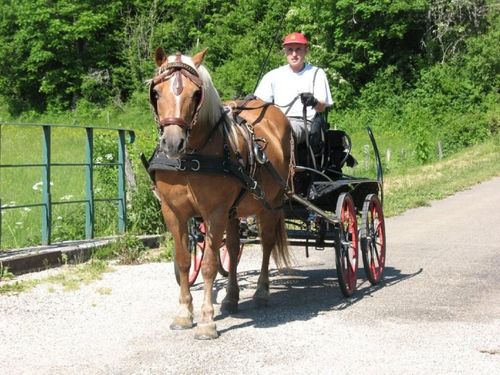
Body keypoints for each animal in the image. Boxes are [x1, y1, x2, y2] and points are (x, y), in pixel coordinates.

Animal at [149, 47, 292, 340]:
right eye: (156, 92)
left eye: (196, 93)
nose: (172, 143)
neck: (190, 157)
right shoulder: (174, 212)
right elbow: (184, 262)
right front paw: (184, 314)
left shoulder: (214, 213)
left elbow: (209, 266)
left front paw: (206, 321)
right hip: (234, 211)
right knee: (235, 247)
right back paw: (231, 298)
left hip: (270, 204)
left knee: (266, 244)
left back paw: (261, 292)